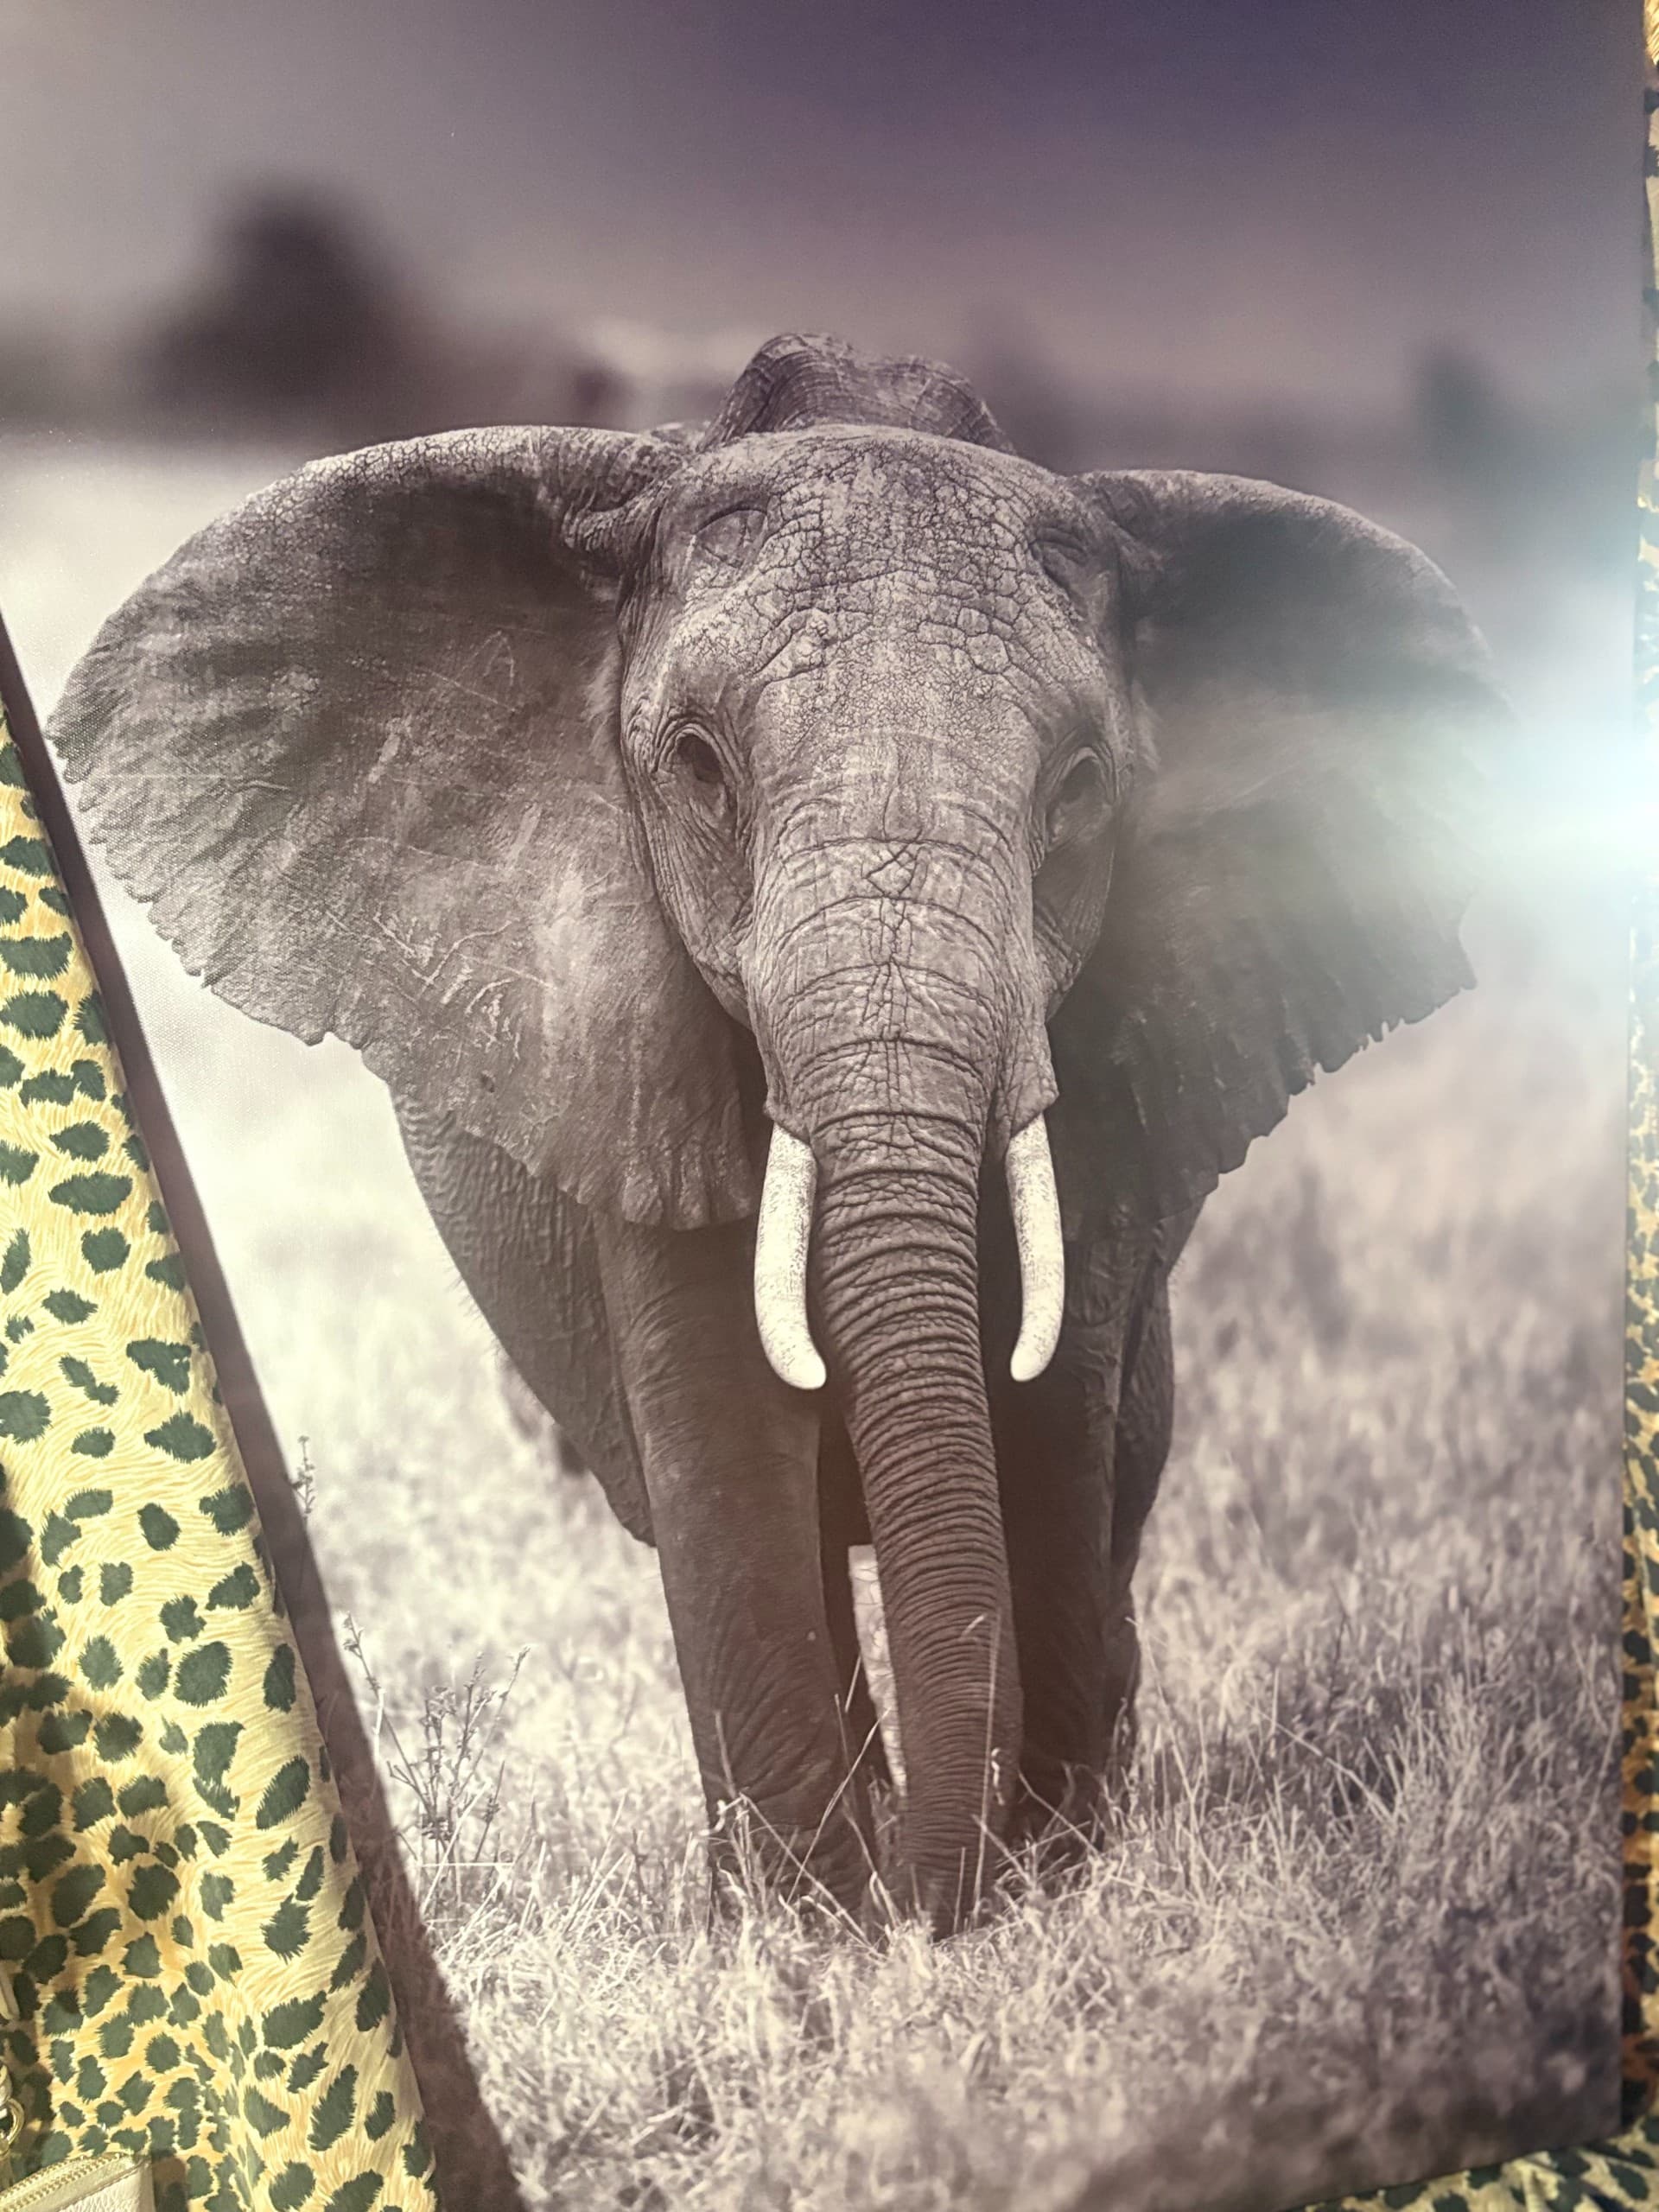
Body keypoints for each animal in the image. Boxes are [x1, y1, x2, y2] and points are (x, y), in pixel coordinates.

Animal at [46, 332, 1506, 1936]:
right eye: (697, 768)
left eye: (1079, 792)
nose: (947, 1891)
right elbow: (726, 1436)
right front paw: (823, 1929)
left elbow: (1053, 1416)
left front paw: (1037, 1881)